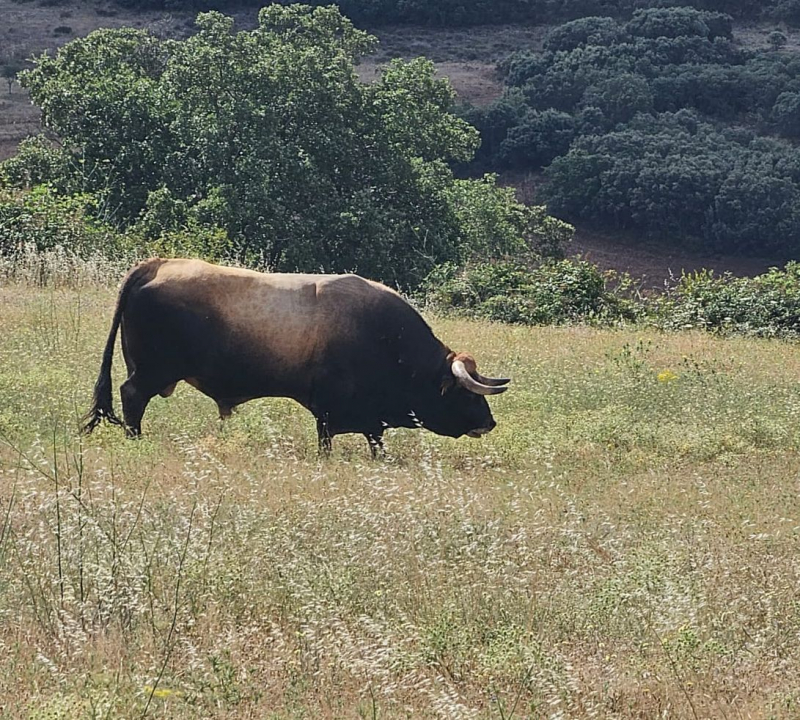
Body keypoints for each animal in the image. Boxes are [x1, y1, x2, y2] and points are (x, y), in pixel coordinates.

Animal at [79, 256, 506, 452]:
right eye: (467, 393)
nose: (489, 423)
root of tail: (158, 264)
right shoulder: (329, 412)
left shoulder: (370, 421)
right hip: (152, 371)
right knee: (132, 397)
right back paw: (135, 439)